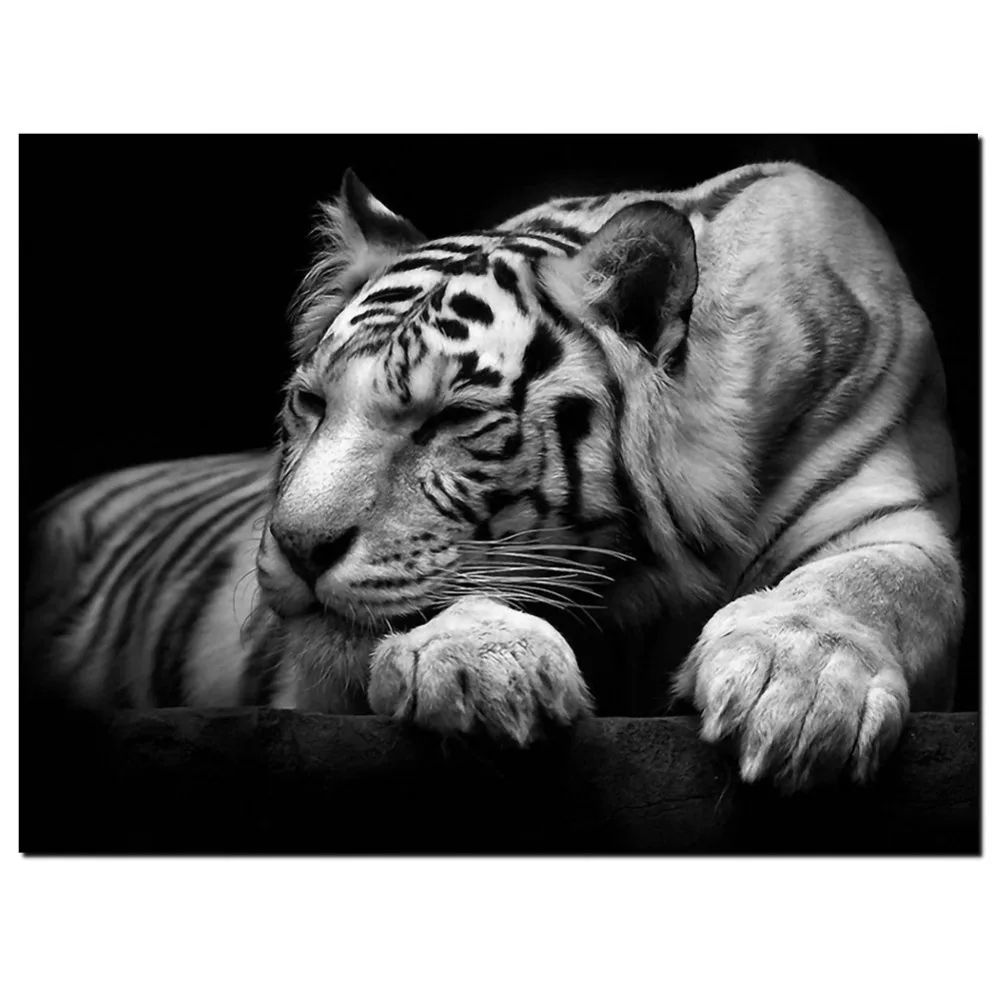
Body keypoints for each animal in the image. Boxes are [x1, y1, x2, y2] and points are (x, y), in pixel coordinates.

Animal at [23, 161, 963, 793]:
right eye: (311, 403)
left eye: (449, 419)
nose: (295, 547)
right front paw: (482, 665)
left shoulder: (888, 512)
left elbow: (872, 585)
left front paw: (796, 690)